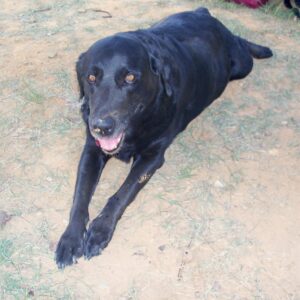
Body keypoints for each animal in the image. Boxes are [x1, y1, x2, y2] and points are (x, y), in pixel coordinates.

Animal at [55, 7, 274, 270]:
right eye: (90, 78)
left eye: (130, 78)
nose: (101, 127)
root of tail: (204, 12)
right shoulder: (91, 149)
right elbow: (80, 195)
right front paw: (70, 238)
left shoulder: (152, 157)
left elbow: (122, 193)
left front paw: (100, 230)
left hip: (243, 64)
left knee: (242, 43)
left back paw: (261, 48)